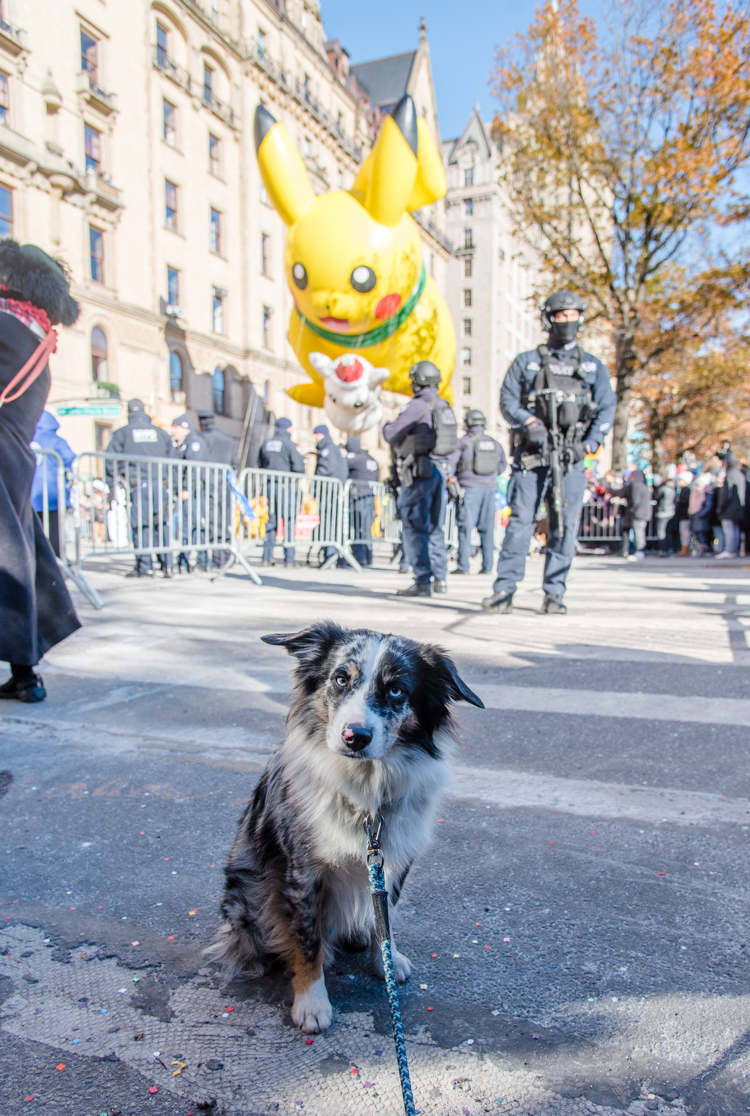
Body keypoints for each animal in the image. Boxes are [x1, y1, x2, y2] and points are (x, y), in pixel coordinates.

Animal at [207, 624, 484, 1031]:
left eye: (396, 690)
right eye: (340, 679)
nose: (355, 736)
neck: (367, 790)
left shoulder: (391, 860)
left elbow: (383, 919)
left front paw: (385, 962)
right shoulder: (302, 871)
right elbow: (307, 942)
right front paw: (311, 1002)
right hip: (250, 887)